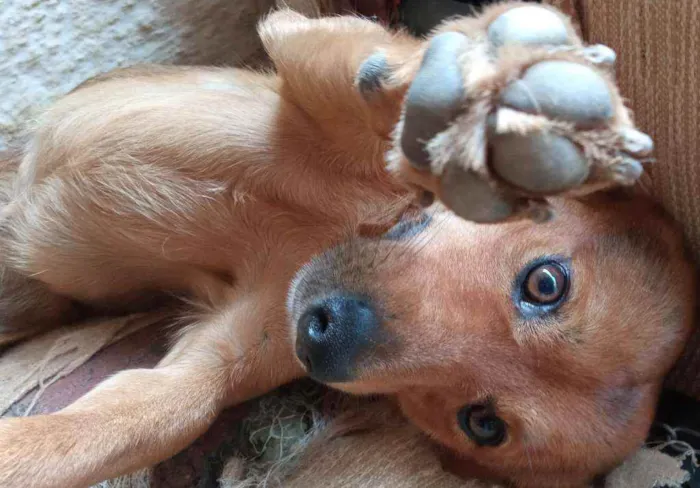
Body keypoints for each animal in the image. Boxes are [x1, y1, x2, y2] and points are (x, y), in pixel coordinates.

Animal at [0, 3, 692, 488]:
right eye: (546, 284)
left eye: (482, 424)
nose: (322, 334)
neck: (350, 222)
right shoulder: (304, 50)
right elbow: (377, 78)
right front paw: (503, 81)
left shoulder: (222, 355)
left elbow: (165, 412)